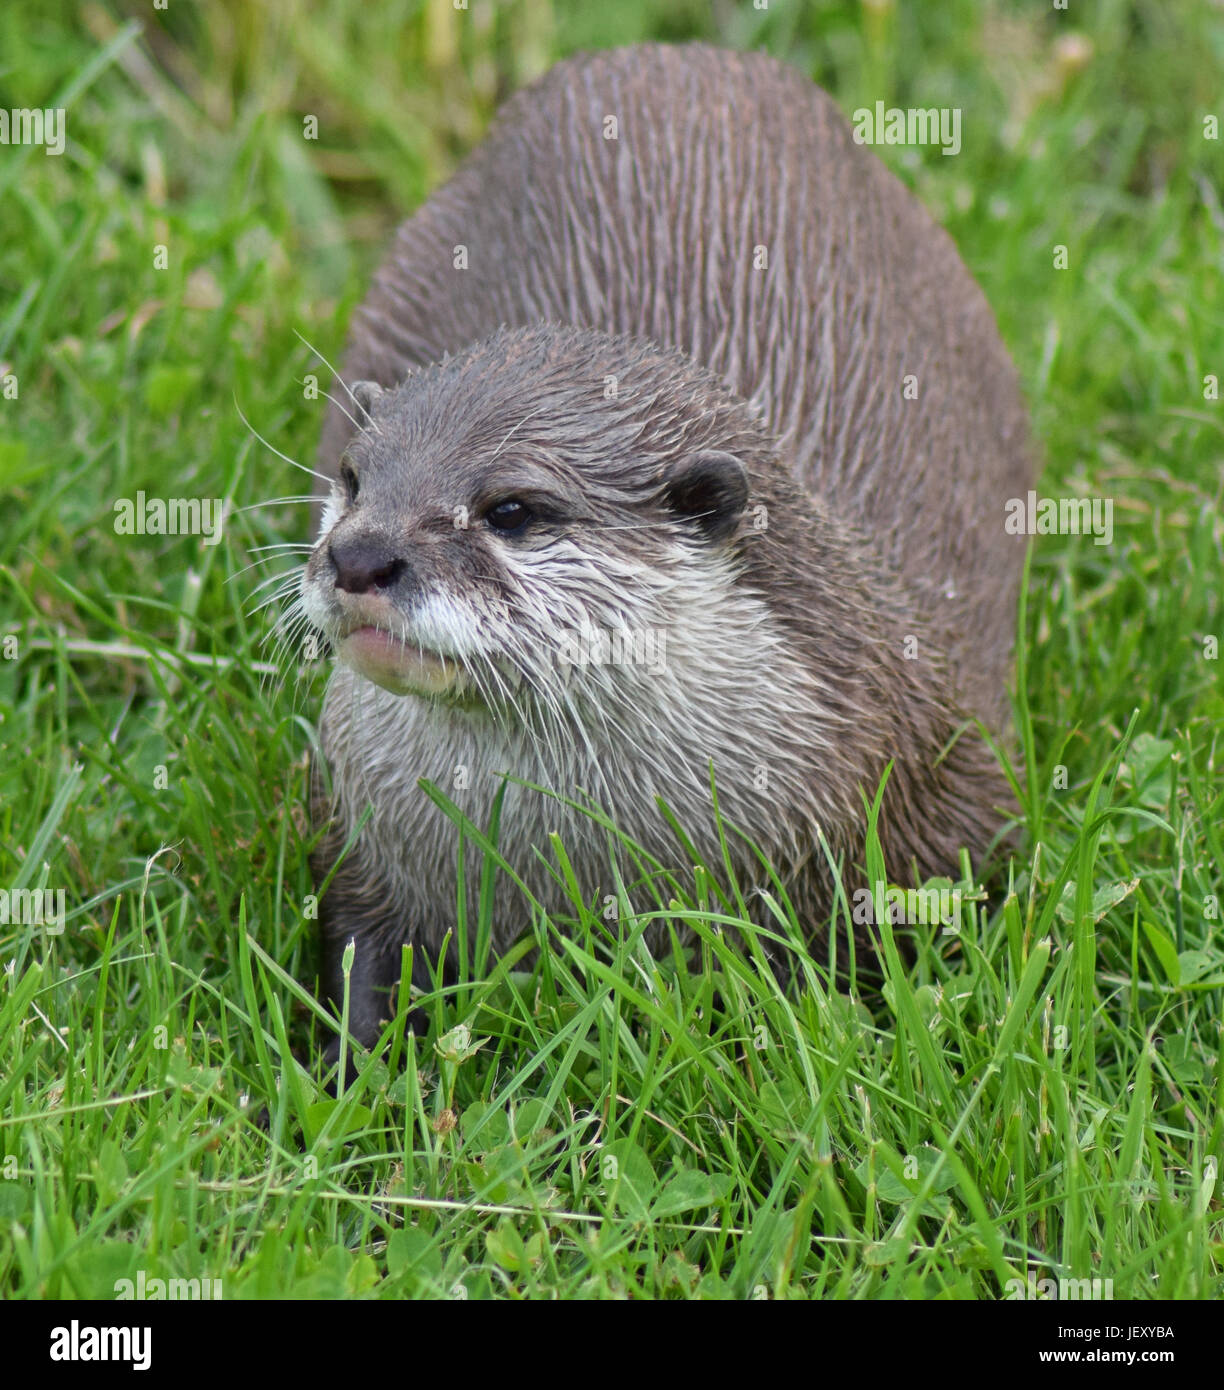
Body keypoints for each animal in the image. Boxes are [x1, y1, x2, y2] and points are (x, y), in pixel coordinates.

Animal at [301, 40, 1028, 1050]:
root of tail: (674, 53)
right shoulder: (360, 839)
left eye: (514, 510)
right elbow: (358, 954)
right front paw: (346, 1076)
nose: (358, 557)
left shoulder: (946, 799)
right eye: (354, 479)